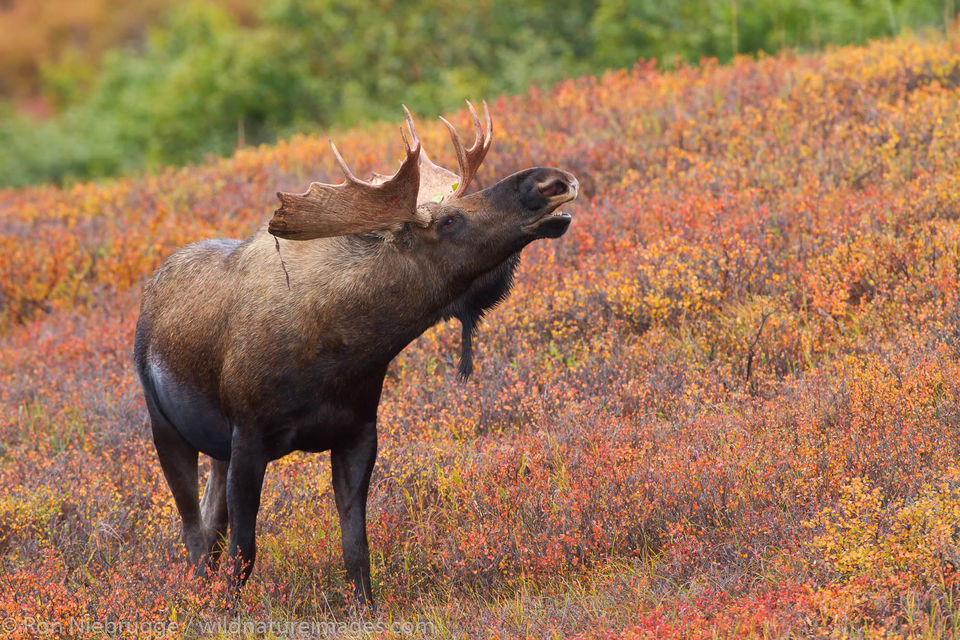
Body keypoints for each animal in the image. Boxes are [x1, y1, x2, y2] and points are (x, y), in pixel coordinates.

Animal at [134, 102, 576, 604]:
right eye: (449, 220)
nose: (548, 182)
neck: (348, 353)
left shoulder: (358, 432)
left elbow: (356, 551)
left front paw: (365, 608)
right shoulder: (248, 436)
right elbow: (245, 552)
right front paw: (227, 609)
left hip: (215, 447)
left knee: (209, 526)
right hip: (165, 426)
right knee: (194, 531)